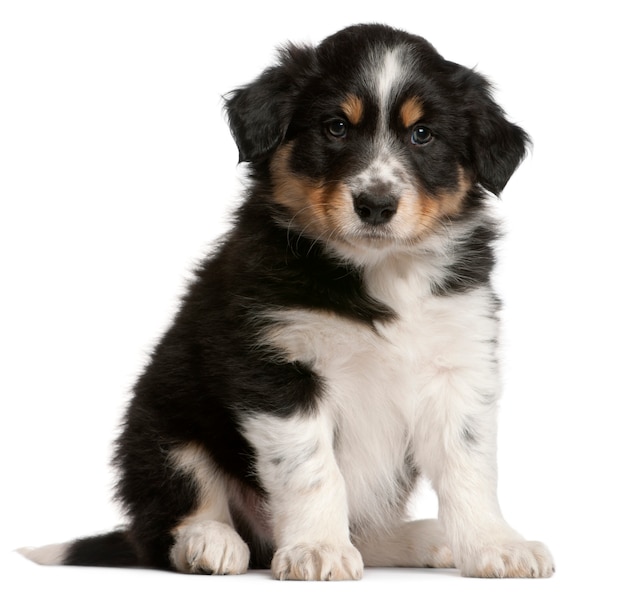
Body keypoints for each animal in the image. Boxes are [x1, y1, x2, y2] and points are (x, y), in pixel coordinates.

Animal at [22, 23, 552, 580]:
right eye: (335, 127)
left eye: (422, 134)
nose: (376, 205)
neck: (380, 271)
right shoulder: (277, 366)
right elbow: (312, 469)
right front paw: (317, 548)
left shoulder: (459, 361)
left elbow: (469, 463)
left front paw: (496, 544)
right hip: (160, 427)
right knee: (172, 518)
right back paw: (211, 542)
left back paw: (422, 538)